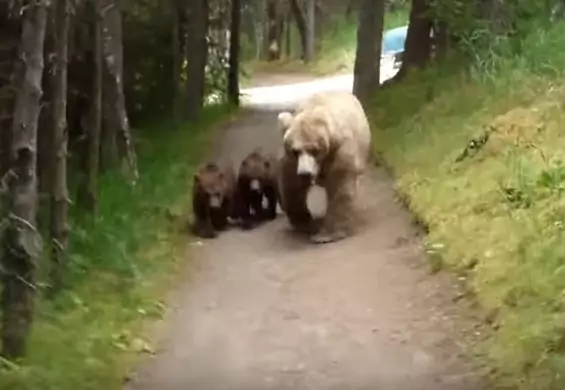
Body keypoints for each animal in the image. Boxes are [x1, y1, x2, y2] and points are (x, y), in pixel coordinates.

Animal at [276, 91, 370, 244]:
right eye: (295, 150)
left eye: (314, 150)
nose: (305, 174)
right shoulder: (292, 161)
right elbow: (291, 185)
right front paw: (304, 223)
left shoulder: (340, 151)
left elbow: (339, 186)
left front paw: (325, 235)